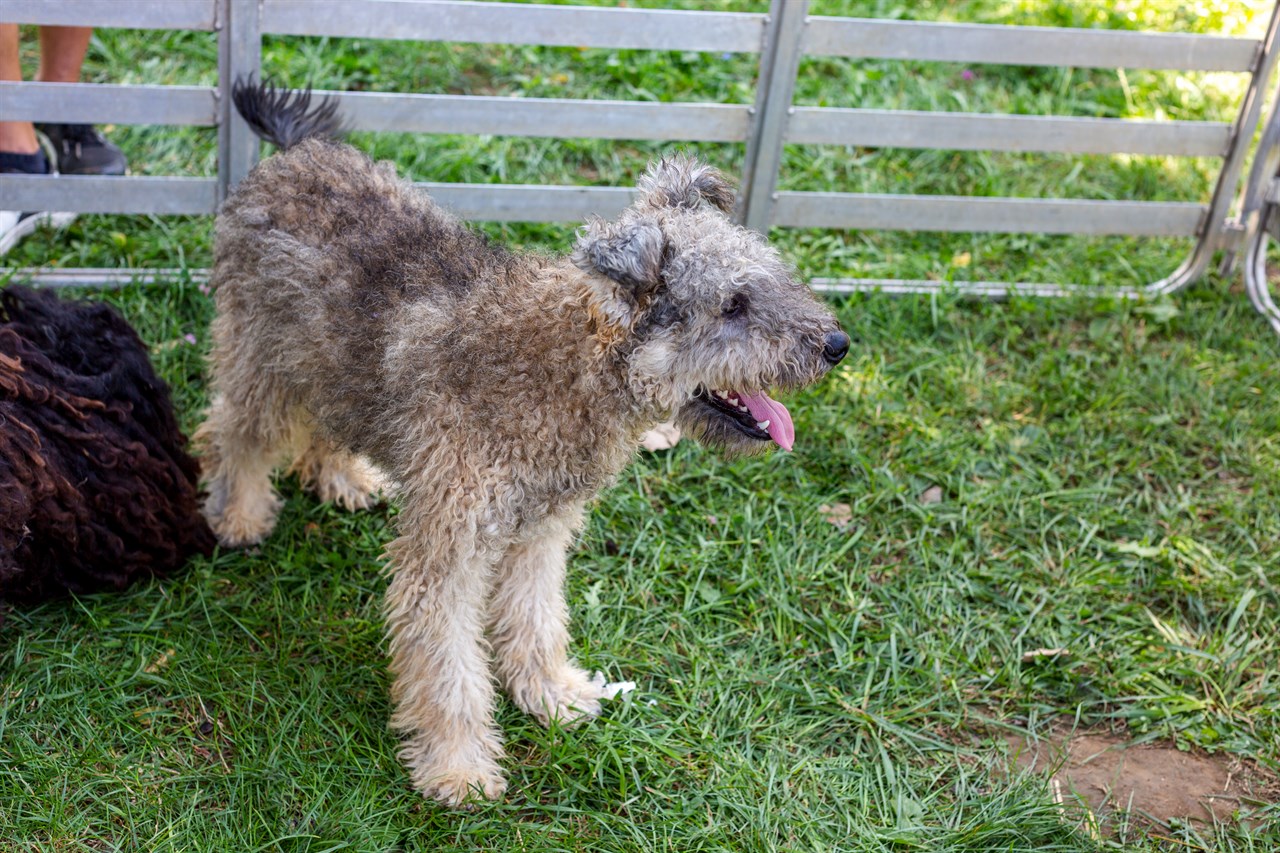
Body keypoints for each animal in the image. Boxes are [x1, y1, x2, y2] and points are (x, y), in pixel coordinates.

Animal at [199, 81, 849, 804]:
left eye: (772, 278)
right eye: (733, 304)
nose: (837, 344)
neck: (571, 369)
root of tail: (297, 150)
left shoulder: (539, 532)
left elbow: (537, 619)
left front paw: (551, 693)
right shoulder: (446, 554)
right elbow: (449, 667)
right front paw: (458, 765)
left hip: (329, 363)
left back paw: (341, 474)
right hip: (263, 356)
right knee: (232, 429)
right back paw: (239, 513)